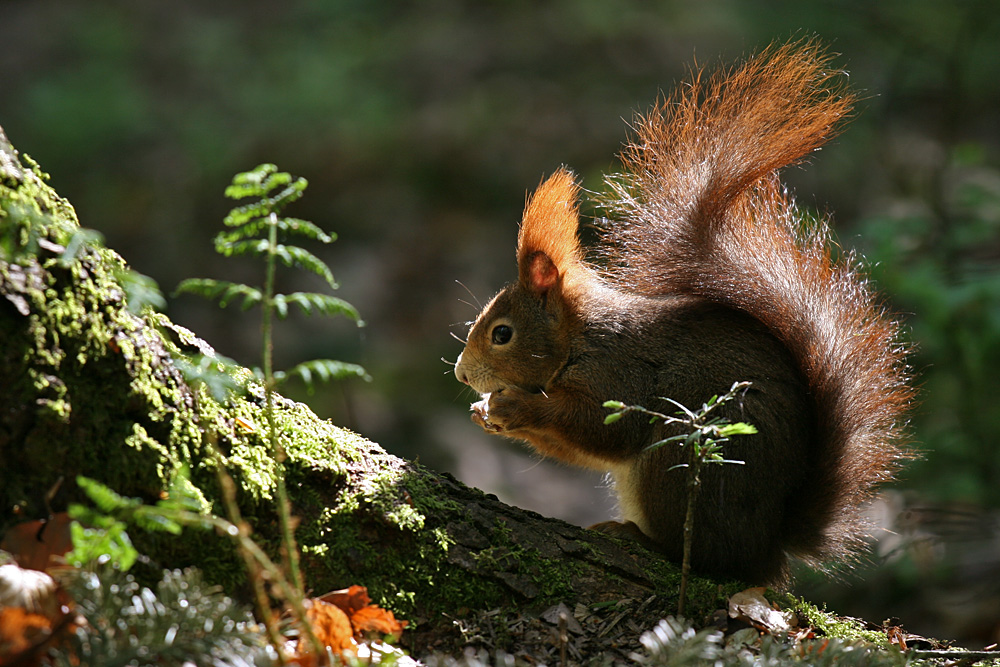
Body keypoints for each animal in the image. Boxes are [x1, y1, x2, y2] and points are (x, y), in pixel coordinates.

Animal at [454, 40, 916, 584]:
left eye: (502, 334)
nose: (462, 376)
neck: (581, 340)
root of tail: (771, 544)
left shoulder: (622, 376)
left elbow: (602, 432)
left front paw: (514, 407)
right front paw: (485, 414)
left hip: (680, 457)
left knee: (702, 557)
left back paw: (640, 539)